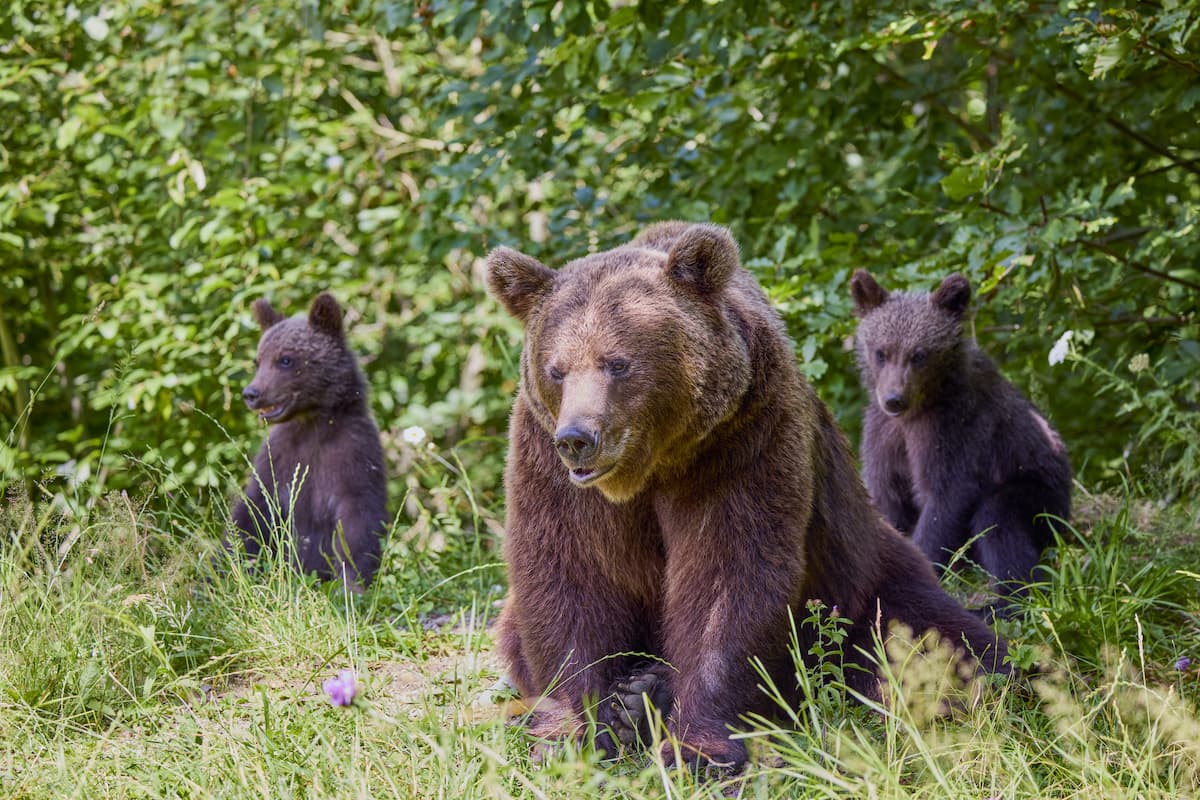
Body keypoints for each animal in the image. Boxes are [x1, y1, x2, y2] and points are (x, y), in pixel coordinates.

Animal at [230, 292, 388, 589]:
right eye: (258, 360)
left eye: (285, 359)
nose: (251, 393)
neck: (312, 423)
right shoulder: (278, 459)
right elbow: (252, 513)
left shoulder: (352, 453)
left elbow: (356, 523)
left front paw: (352, 584)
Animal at [486, 222, 1008, 775]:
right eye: (556, 369)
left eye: (618, 363)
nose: (578, 437)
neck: (651, 465)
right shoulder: (549, 466)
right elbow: (567, 575)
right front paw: (573, 732)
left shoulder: (740, 441)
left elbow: (729, 572)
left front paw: (698, 748)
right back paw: (634, 697)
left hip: (866, 576)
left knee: (932, 642)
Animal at [849, 269, 1072, 601]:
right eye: (881, 352)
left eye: (919, 354)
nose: (894, 399)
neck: (920, 408)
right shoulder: (884, 435)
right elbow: (887, 494)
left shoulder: (956, 429)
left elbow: (946, 497)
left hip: (1041, 494)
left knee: (999, 519)